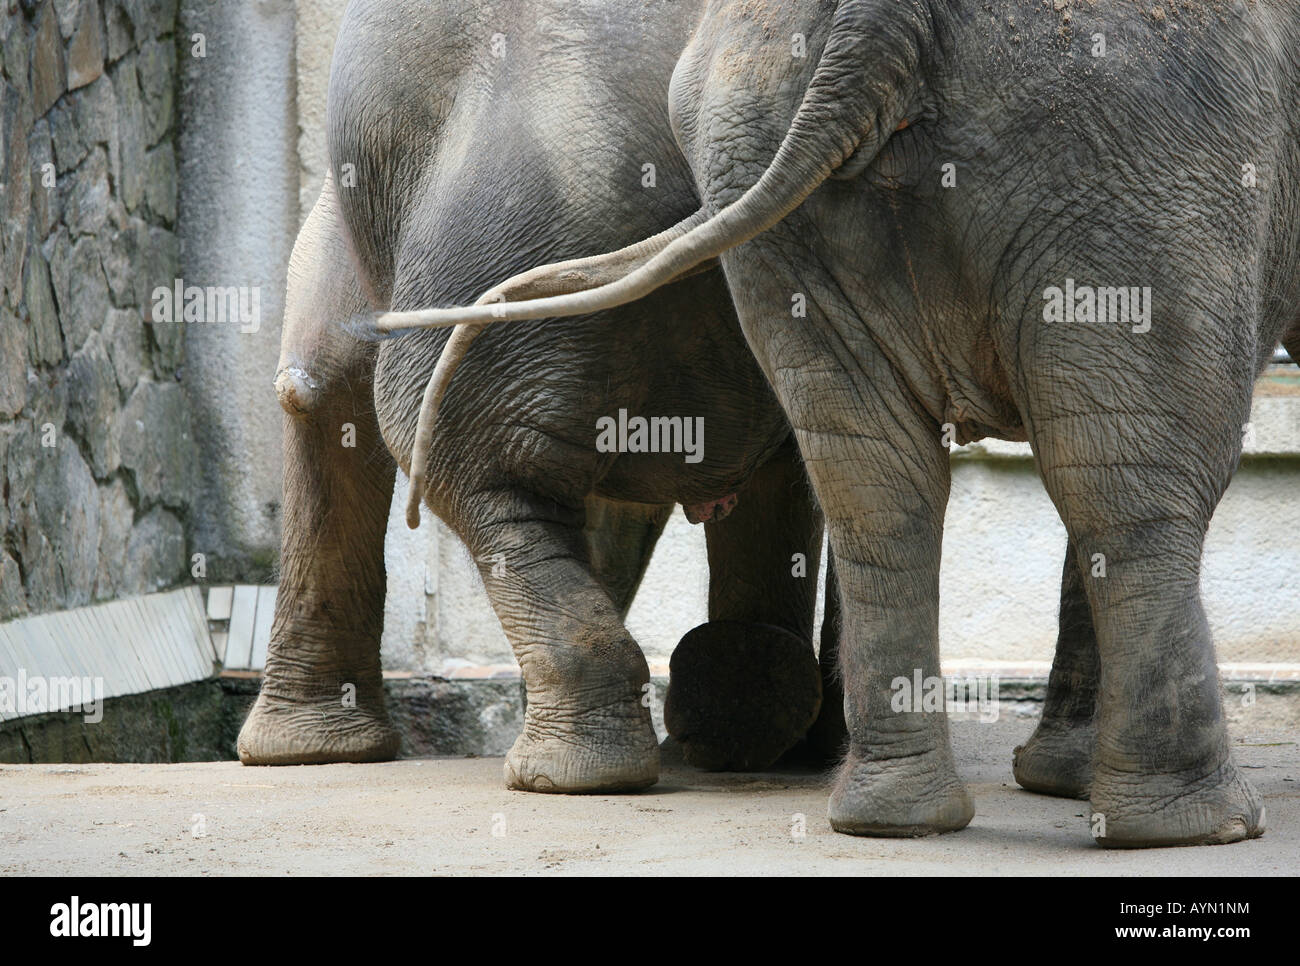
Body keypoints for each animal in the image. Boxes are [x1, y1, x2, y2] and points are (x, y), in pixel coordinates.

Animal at [389, 0, 1300, 847]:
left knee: (881, 486)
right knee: (1124, 480)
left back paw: (894, 818)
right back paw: (1194, 827)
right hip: (1131, 144)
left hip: (765, 156)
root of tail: (879, 16)